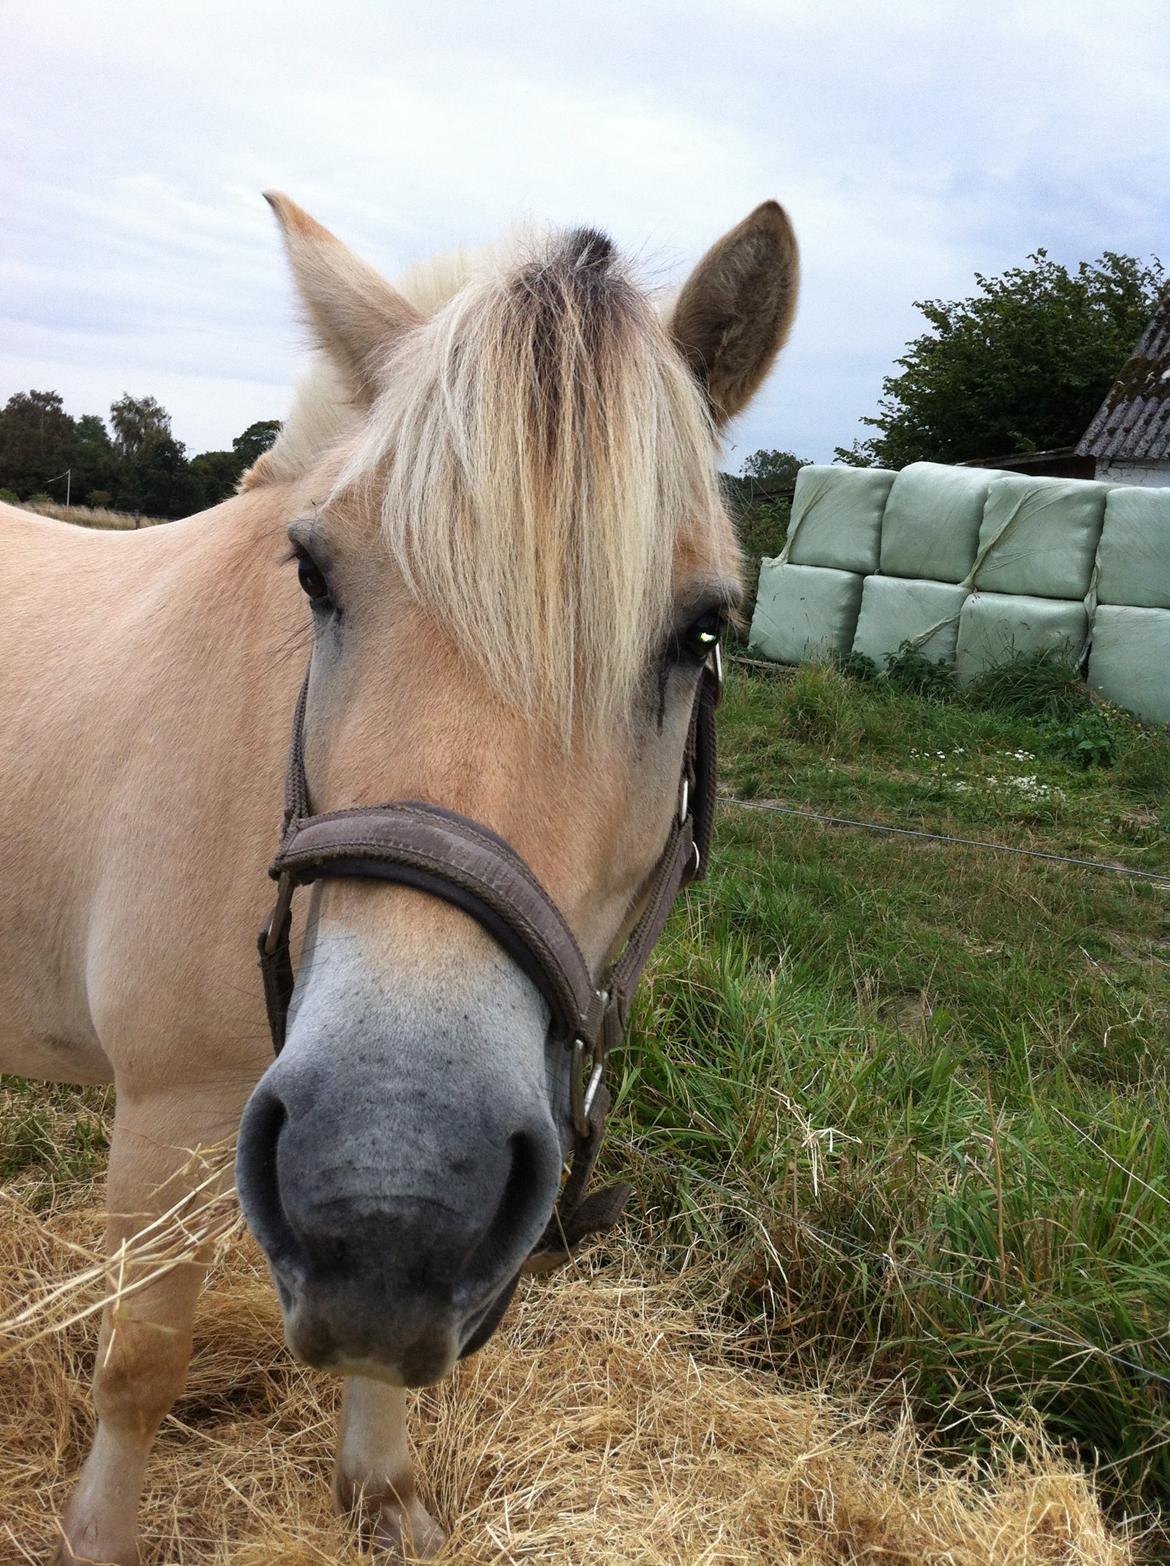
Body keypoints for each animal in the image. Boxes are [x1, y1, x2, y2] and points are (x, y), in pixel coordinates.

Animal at [0, 189, 801, 1559]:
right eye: (315, 574)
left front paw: (382, 1491)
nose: (390, 1180)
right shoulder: (163, 1119)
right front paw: (99, 1537)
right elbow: (139, 1367)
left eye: (702, 629)